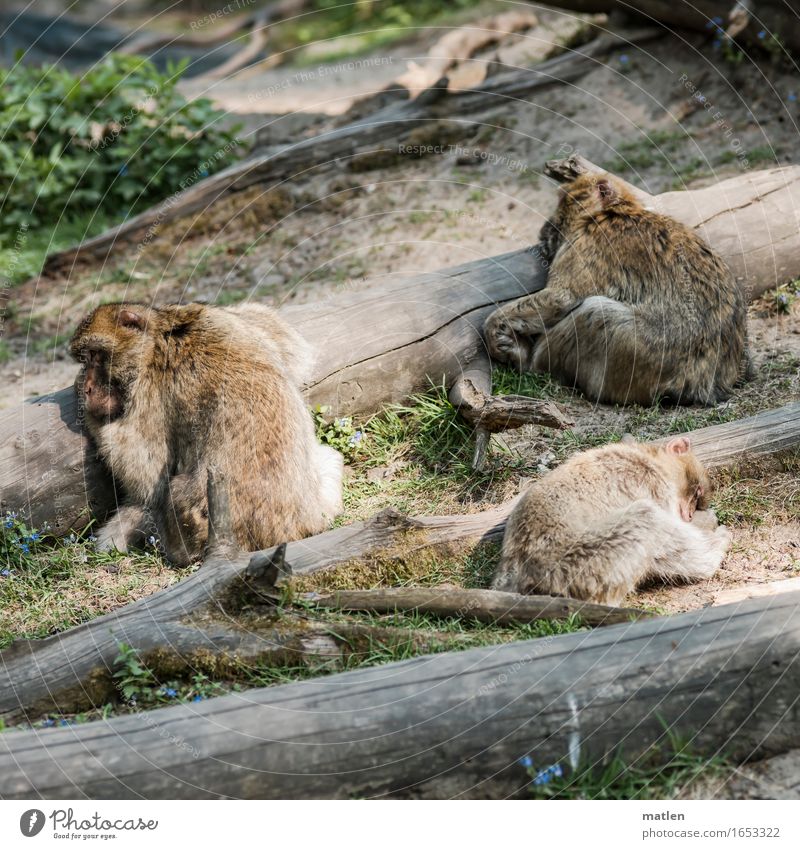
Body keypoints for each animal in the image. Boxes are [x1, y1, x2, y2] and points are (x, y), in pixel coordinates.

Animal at [69, 298, 340, 564]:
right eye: (86, 357)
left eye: (94, 355)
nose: (88, 388)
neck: (158, 335)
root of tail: (286, 533)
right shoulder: (218, 318)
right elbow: (288, 343)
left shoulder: (148, 390)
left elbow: (145, 475)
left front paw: (84, 404)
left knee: (173, 492)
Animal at [484, 171, 752, 404]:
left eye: (564, 201)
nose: (544, 229)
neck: (616, 211)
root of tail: (702, 383)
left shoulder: (587, 243)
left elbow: (561, 298)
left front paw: (495, 331)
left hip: (641, 353)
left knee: (596, 312)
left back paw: (530, 360)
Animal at [490, 438, 728, 604]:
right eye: (696, 494)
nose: (690, 515)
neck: (649, 459)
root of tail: (519, 572)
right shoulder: (653, 483)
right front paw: (709, 524)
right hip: (585, 562)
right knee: (647, 518)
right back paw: (714, 553)